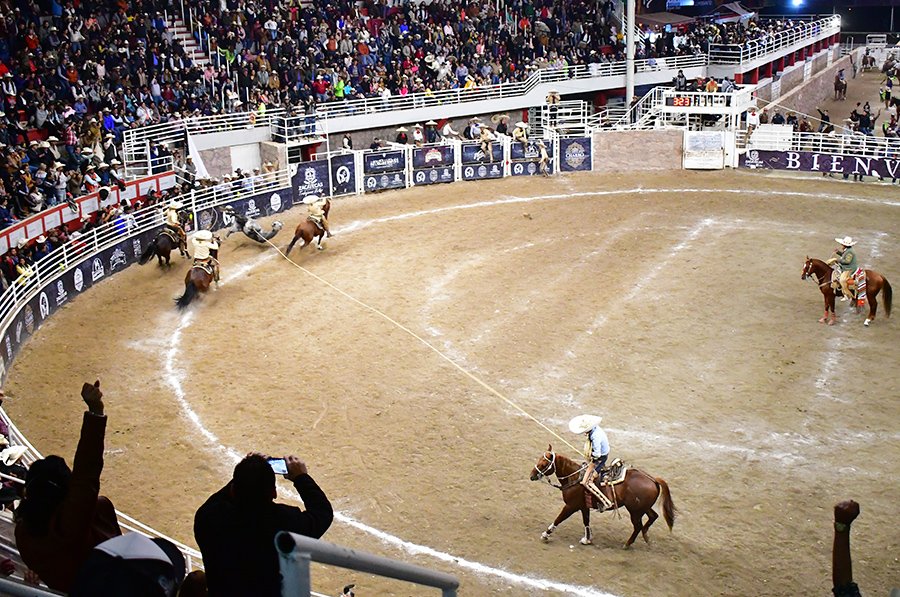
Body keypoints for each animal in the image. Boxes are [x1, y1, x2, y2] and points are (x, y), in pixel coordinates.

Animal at [532, 444, 672, 548]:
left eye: (544, 464)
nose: (531, 476)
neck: (575, 477)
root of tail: (653, 479)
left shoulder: (570, 506)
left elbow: (559, 519)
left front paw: (545, 534)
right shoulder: (583, 506)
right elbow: (586, 521)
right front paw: (587, 539)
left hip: (635, 511)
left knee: (638, 526)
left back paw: (627, 544)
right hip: (643, 508)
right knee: (653, 517)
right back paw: (646, 536)